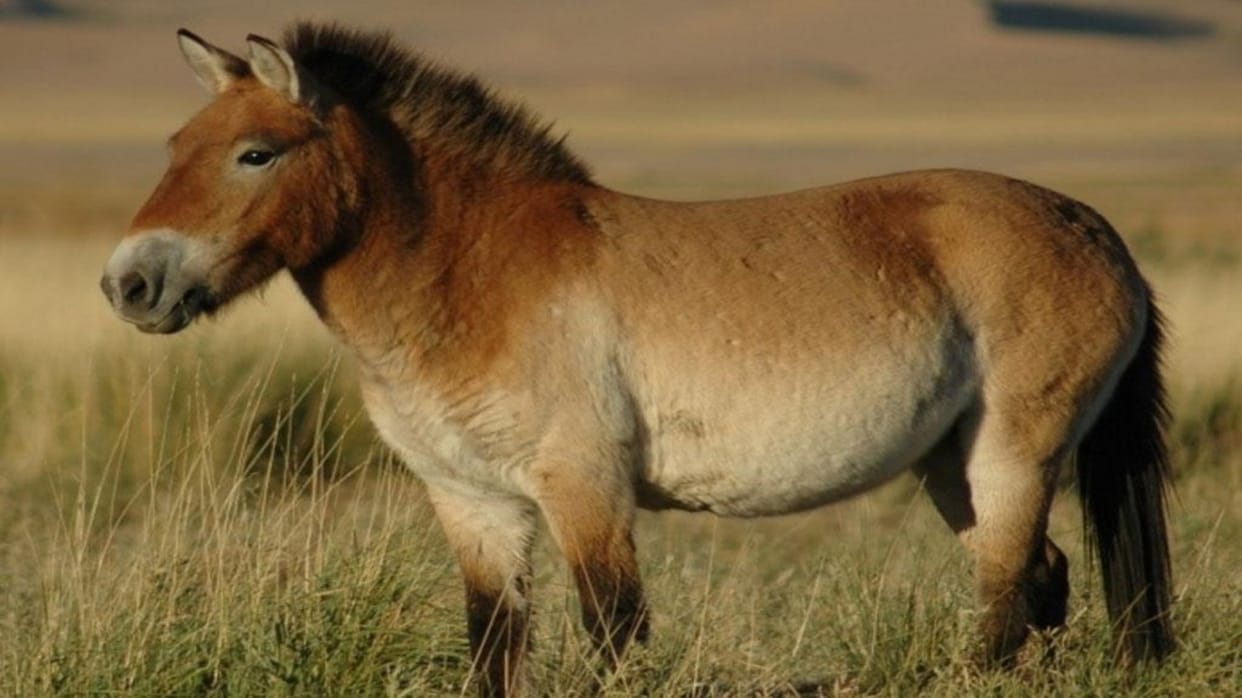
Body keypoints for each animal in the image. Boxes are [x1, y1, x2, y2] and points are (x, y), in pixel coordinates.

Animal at [100, 22, 1173, 696]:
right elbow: (493, 648)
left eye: (256, 154)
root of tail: (1093, 228)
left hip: (1013, 454)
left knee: (1006, 598)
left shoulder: (584, 489)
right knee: (1038, 580)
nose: (130, 284)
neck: (472, 274)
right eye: (173, 143)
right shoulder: (472, 503)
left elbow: (613, 636)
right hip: (953, 466)